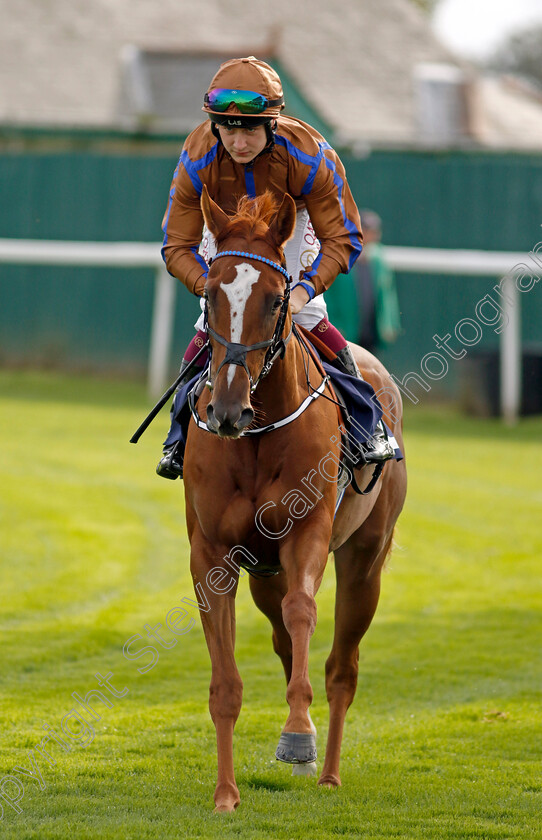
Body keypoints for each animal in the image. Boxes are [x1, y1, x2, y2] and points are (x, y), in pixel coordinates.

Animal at [184, 187, 408, 812]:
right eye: (210, 295)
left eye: (274, 298)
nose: (226, 411)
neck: (257, 435)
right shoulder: (211, 553)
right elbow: (226, 681)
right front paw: (225, 794)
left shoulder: (308, 533)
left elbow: (304, 612)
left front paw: (299, 737)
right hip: (263, 571)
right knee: (285, 643)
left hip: (365, 561)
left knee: (339, 666)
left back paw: (326, 768)